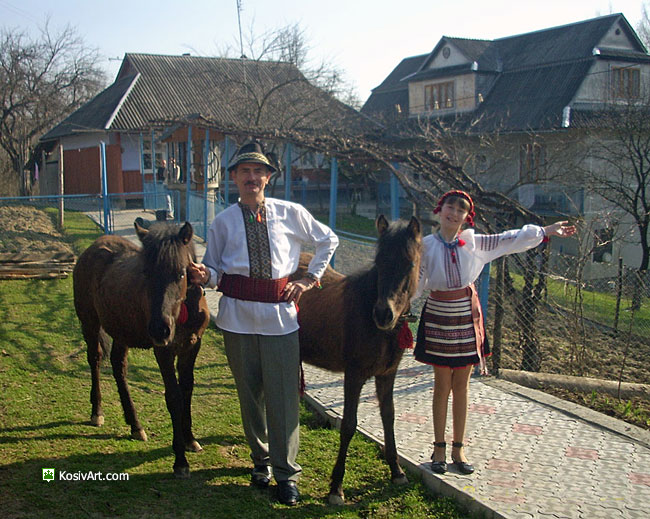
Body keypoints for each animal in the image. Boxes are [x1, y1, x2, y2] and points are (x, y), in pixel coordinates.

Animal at [74, 221, 210, 478]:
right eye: (146, 273)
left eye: (180, 273)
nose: (159, 329)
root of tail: (92, 248)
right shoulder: (164, 351)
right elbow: (173, 396)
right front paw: (180, 460)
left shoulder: (192, 345)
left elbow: (187, 390)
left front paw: (190, 439)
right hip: (89, 322)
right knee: (95, 359)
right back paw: (97, 412)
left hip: (120, 331)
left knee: (119, 366)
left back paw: (134, 424)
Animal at [288, 213, 420, 506]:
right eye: (379, 262)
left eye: (409, 263)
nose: (384, 314)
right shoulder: (355, 375)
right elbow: (349, 425)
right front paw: (336, 487)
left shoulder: (387, 375)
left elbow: (388, 416)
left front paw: (396, 471)